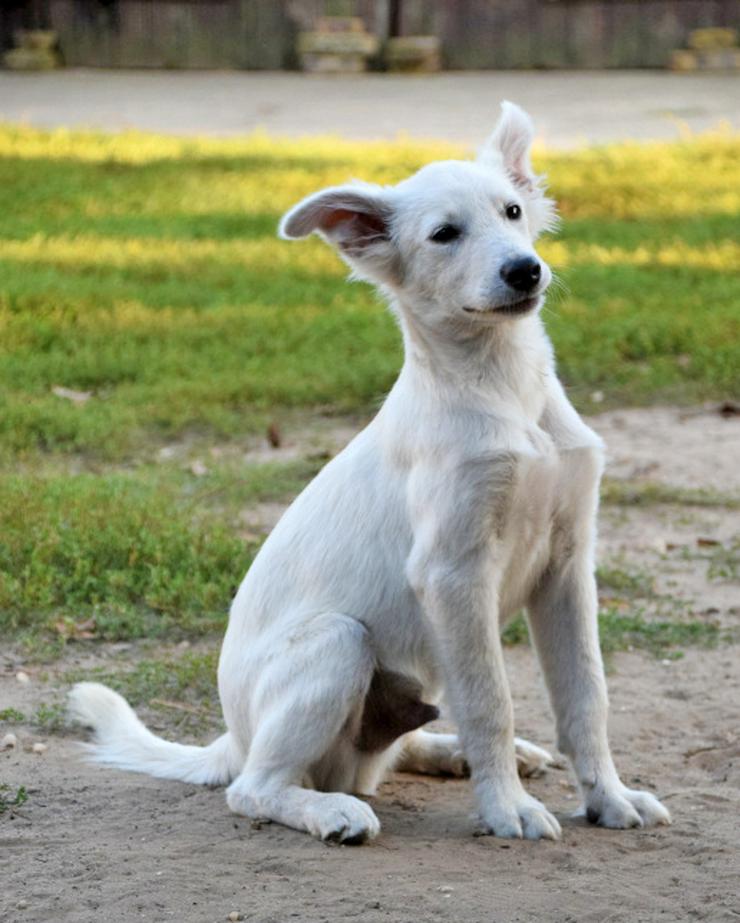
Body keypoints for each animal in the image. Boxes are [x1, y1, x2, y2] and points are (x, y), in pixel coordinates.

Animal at [69, 101, 672, 844]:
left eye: (511, 212)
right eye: (444, 234)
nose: (526, 271)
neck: (503, 390)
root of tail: (232, 737)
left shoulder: (566, 563)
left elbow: (586, 696)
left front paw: (609, 798)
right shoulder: (453, 573)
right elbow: (491, 701)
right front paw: (507, 808)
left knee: (391, 750)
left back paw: (450, 754)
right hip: (337, 642)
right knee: (256, 788)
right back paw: (333, 811)